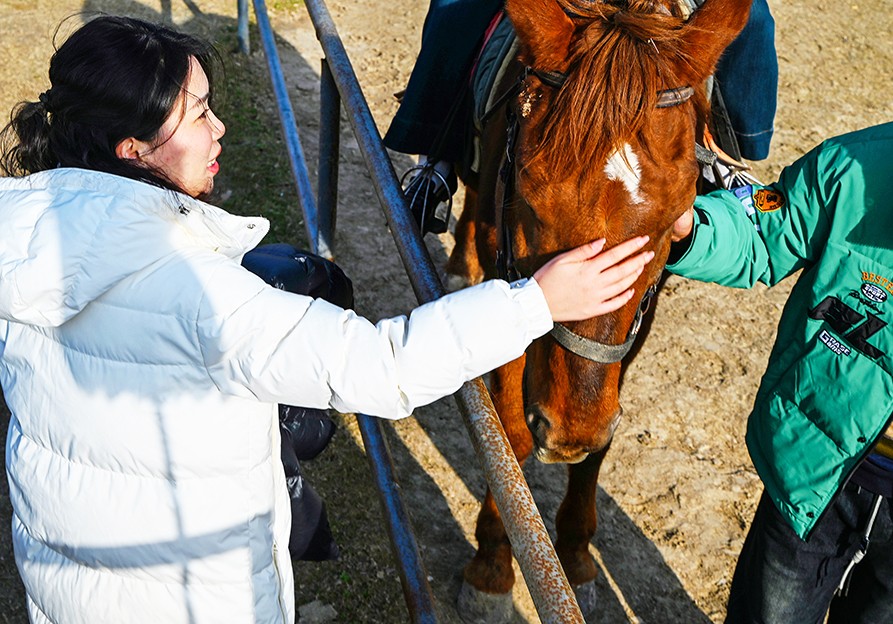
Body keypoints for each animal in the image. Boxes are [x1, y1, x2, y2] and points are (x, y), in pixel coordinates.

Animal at [445, 0, 752, 617]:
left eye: (677, 217)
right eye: (529, 199)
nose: (570, 429)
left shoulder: (641, 315)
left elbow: (601, 445)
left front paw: (575, 553)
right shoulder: (507, 271)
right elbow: (510, 435)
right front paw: (493, 564)